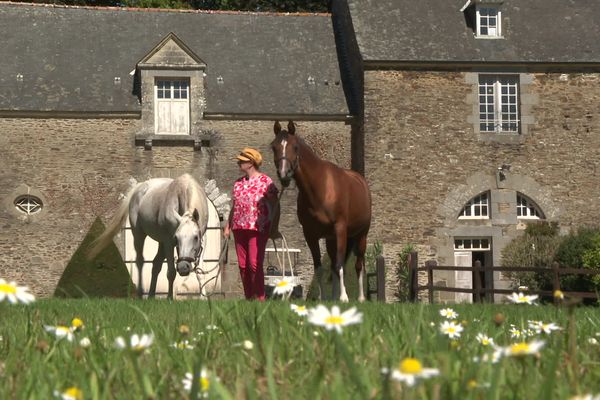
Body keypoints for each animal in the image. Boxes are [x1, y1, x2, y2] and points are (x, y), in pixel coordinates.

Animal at [270, 120, 370, 302]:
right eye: (273, 147)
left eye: (295, 147)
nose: (284, 174)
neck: (321, 188)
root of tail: (361, 180)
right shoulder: (310, 234)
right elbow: (319, 267)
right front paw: (323, 298)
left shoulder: (340, 228)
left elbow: (340, 264)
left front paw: (344, 297)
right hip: (331, 239)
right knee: (333, 265)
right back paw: (334, 297)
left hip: (361, 235)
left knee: (358, 263)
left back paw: (360, 297)